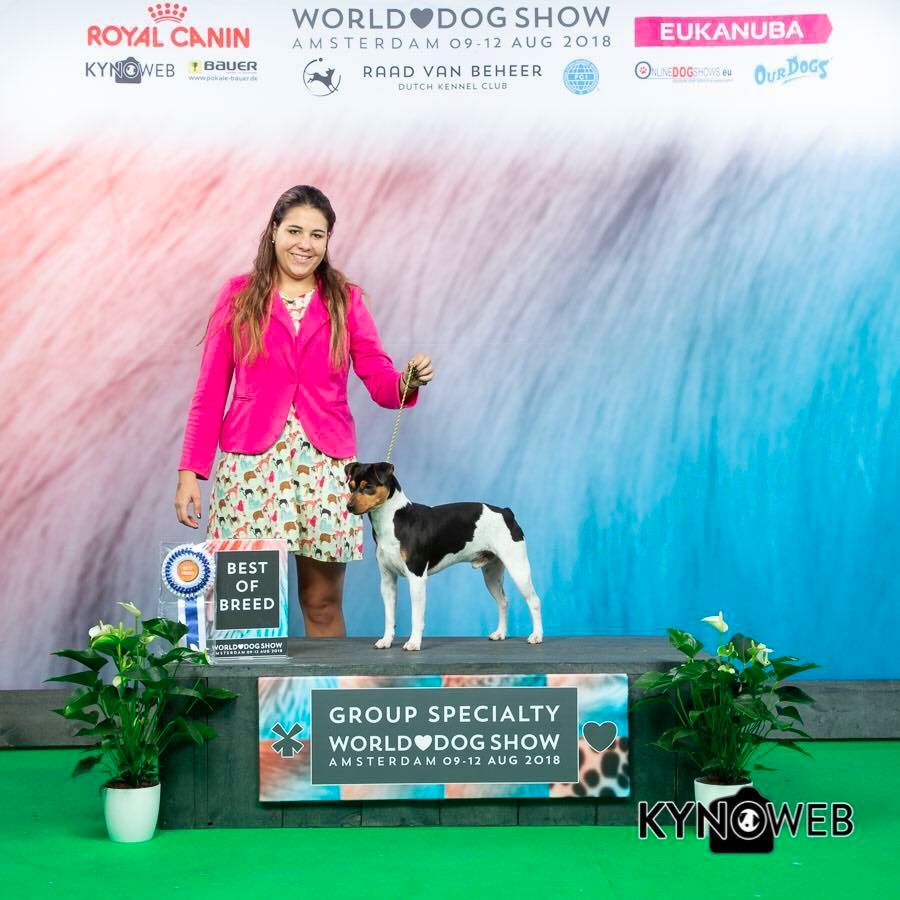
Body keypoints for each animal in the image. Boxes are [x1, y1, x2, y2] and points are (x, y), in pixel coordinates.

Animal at [345, 462, 543, 651]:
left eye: (368, 486)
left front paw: (414, 643)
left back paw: (536, 636)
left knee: (534, 601)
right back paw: (500, 633)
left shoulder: (416, 578)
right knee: (503, 602)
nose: (349, 507)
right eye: (351, 486)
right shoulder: (387, 581)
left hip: (518, 569)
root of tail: (506, 512)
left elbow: (416, 617)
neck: (394, 519)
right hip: (492, 575)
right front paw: (386, 641)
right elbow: (389, 617)